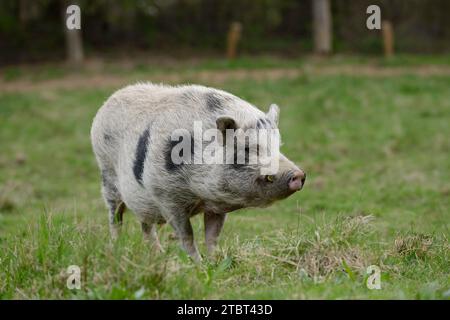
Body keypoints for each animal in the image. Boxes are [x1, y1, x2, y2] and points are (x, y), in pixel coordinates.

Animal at [89, 84, 304, 262]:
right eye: (247, 148)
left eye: (278, 146)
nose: (298, 174)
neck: (199, 194)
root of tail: (108, 102)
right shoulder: (167, 198)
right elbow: (187, 236)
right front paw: (199, 265)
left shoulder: (217, 205)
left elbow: (212, 236)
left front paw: (215, 262)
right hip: (107, 173)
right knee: (115, 216)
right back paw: (116, 248)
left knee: (145, 225)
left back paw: (157, 254)